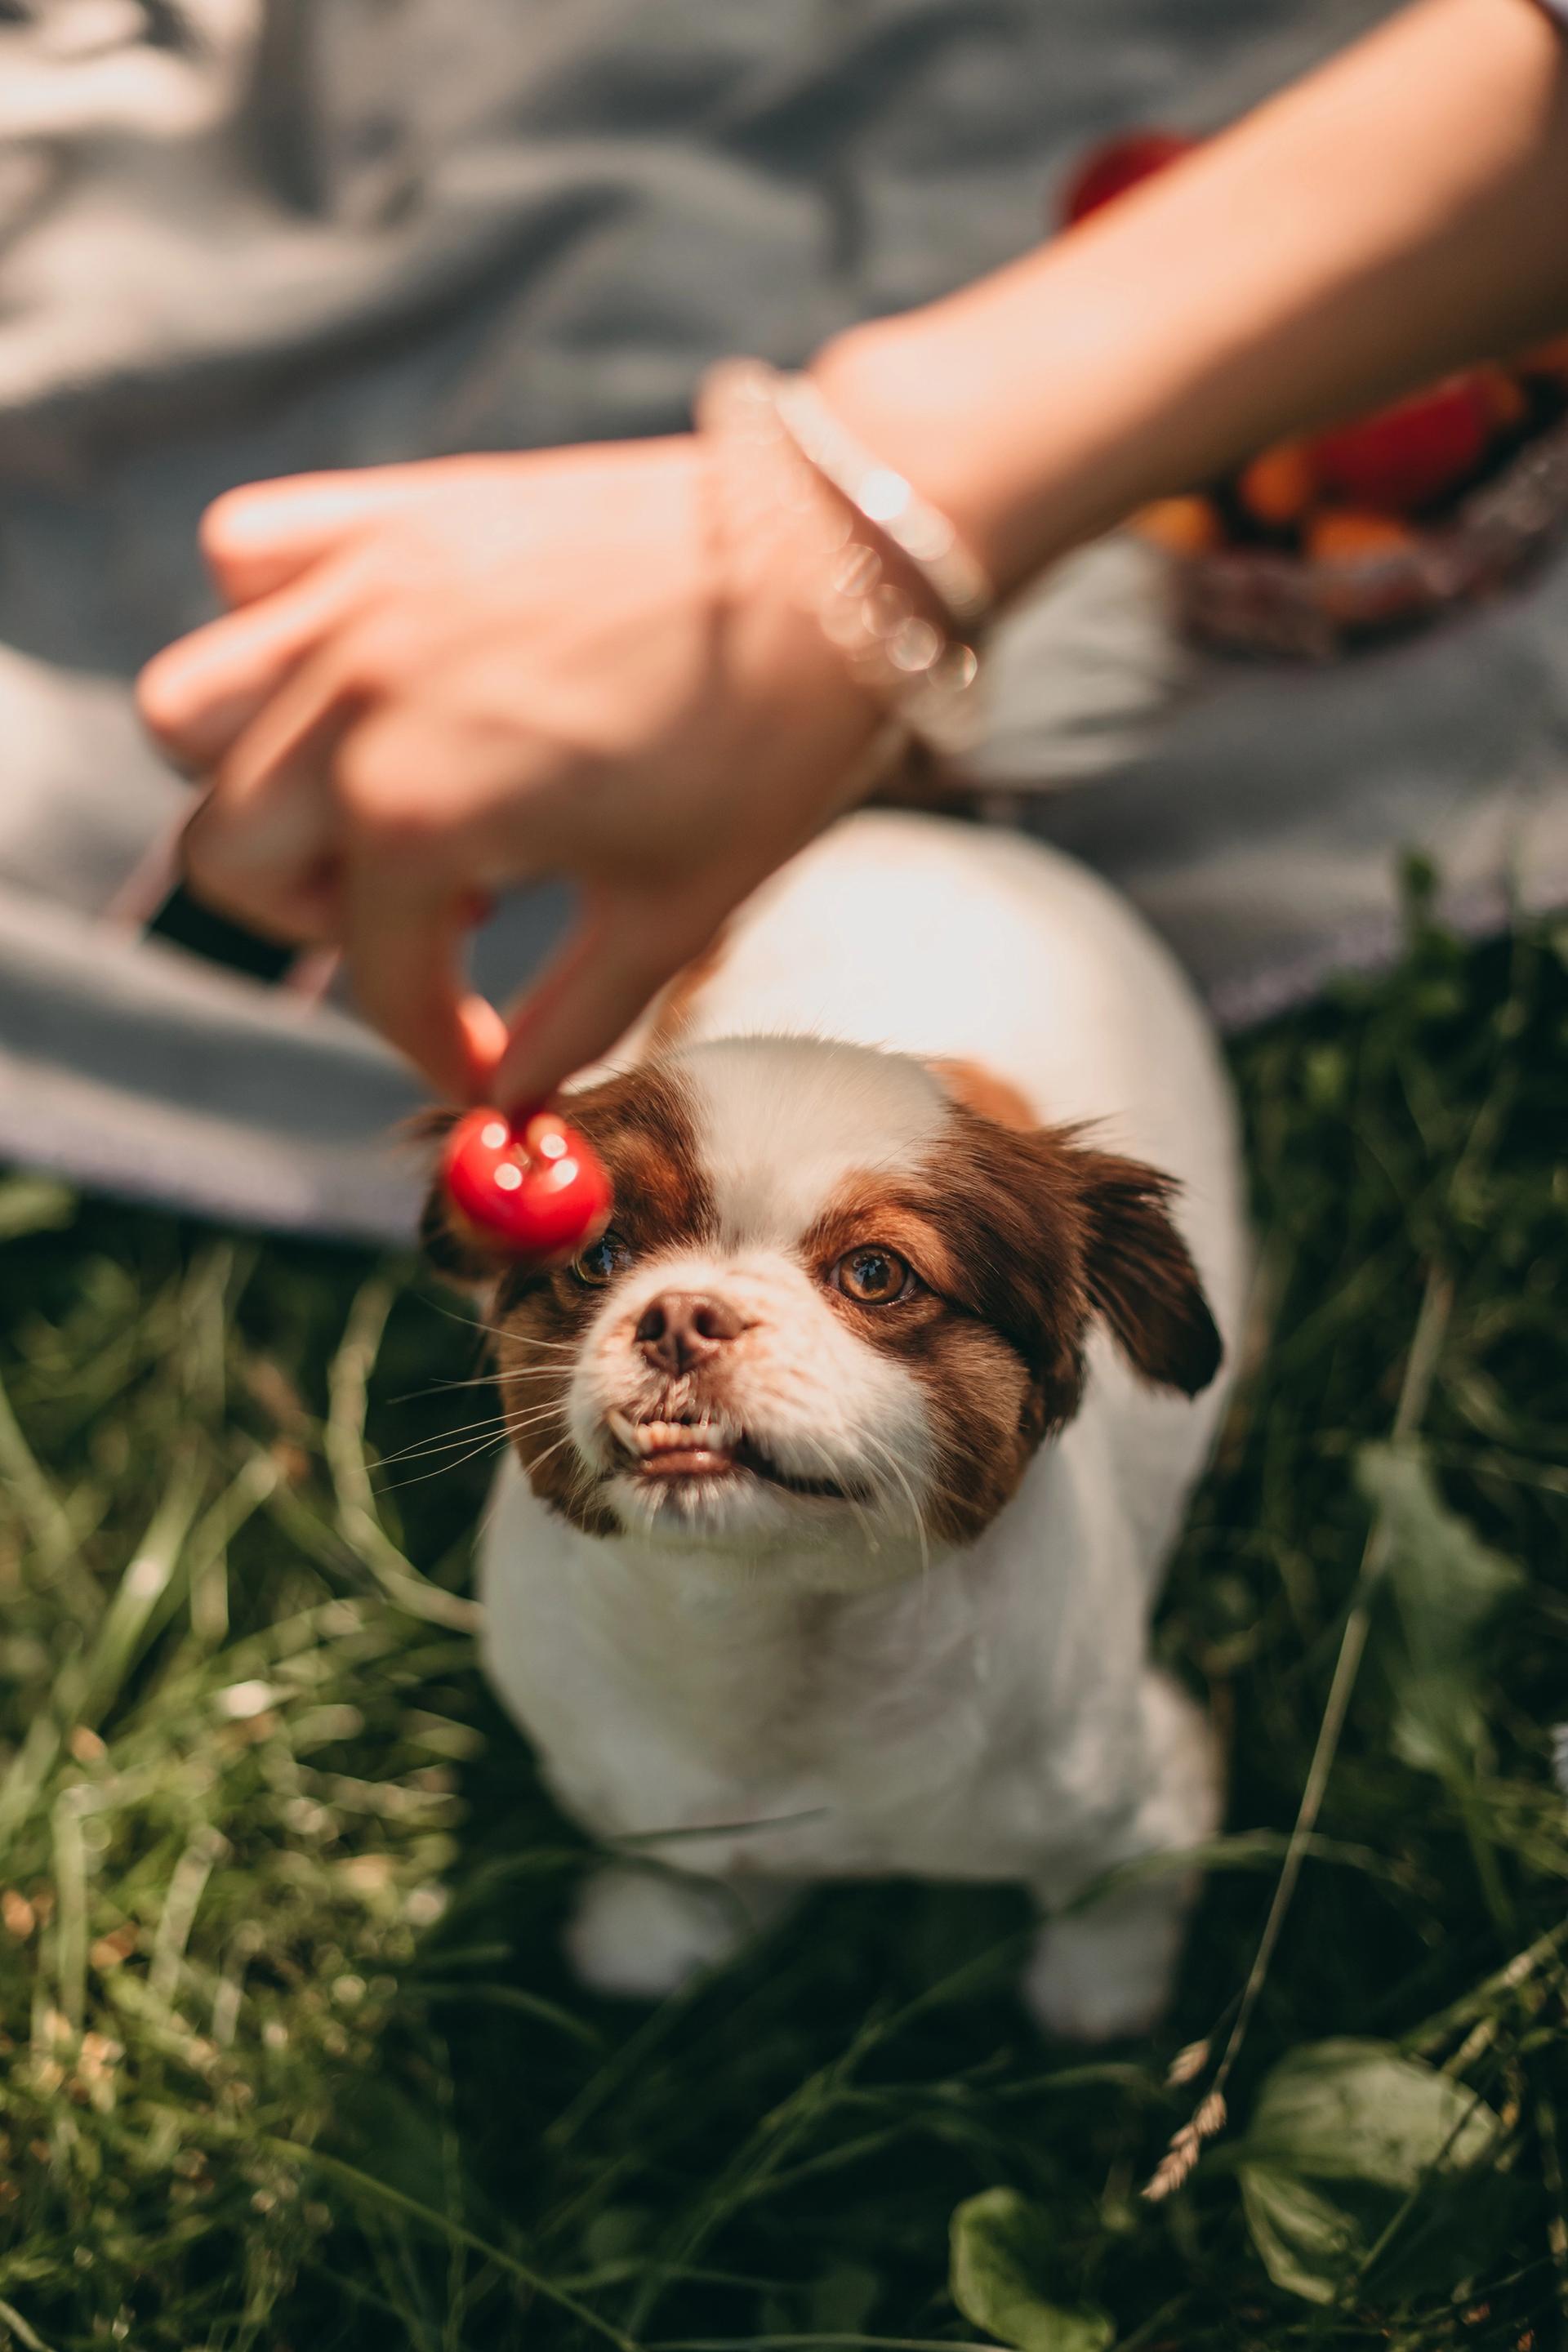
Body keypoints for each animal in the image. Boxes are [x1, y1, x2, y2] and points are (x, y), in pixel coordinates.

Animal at [430, 808, 1250, 2041]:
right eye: (601, 1256)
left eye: (876, 1274)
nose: (683, 1317)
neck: (777, 1643)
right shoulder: (633, 1785)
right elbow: (681, 1876)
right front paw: (658, 1937)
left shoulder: (1139, 1799)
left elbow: (1107, 1911)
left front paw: (1099, 2005)